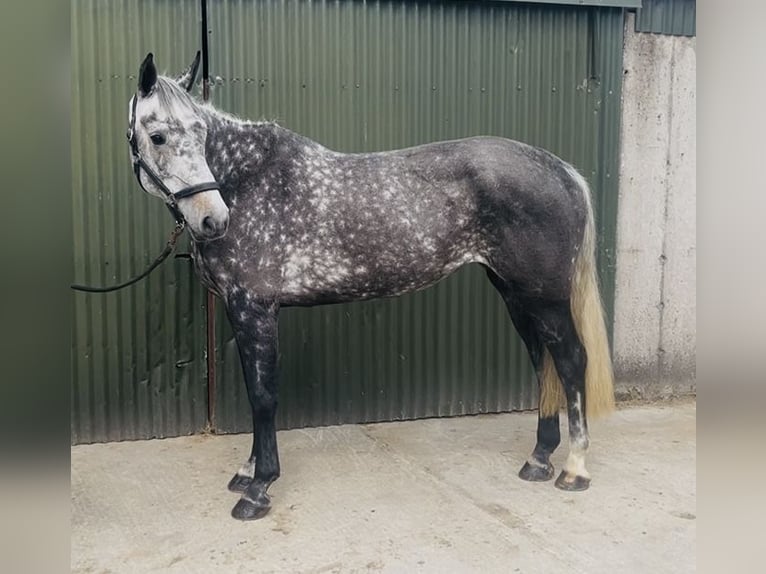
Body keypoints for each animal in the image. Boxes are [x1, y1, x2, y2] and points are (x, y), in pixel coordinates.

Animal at [126, 53, 614, 520]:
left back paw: (574, 469)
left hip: (545, 299)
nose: (213, 219)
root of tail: (562, 170)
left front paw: (259, 487)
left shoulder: (255, 308)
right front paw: (247, 472)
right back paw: (539, 459)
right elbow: (254, 391)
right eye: (158, 136)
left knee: (571, 360)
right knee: (544, 363)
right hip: (517, 294)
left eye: (199, 131)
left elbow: (263, 396)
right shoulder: (240, 309)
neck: (247, 184)